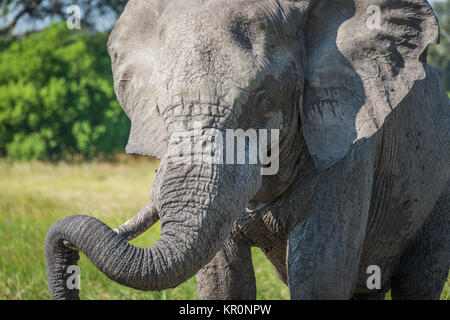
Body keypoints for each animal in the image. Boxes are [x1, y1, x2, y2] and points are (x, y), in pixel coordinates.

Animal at [46, 0, 450, 300]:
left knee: (419, 279)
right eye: (159, 107)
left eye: (260, 96)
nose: (66, 248)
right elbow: (223, 280)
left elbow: (319, 271)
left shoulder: (349, 138)